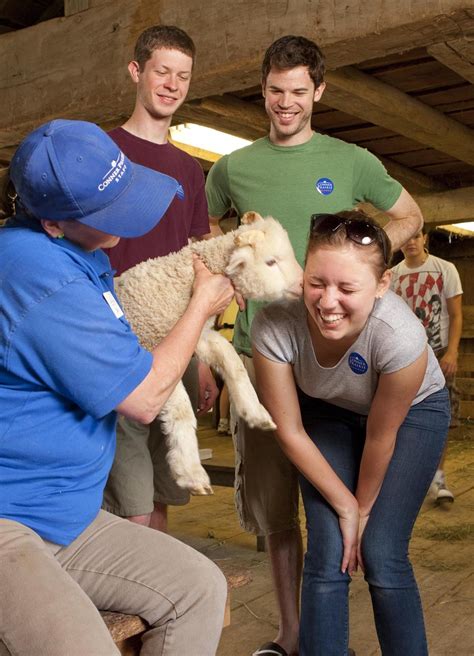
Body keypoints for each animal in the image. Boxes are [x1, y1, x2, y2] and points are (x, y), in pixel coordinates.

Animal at [114, 213, 304, 494]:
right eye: (271, 262)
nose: (303, 284)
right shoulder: (152, 359)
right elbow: (181, 411)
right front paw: (191, 474)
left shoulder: (198, 333)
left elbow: (232, 360)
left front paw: (255, 413)